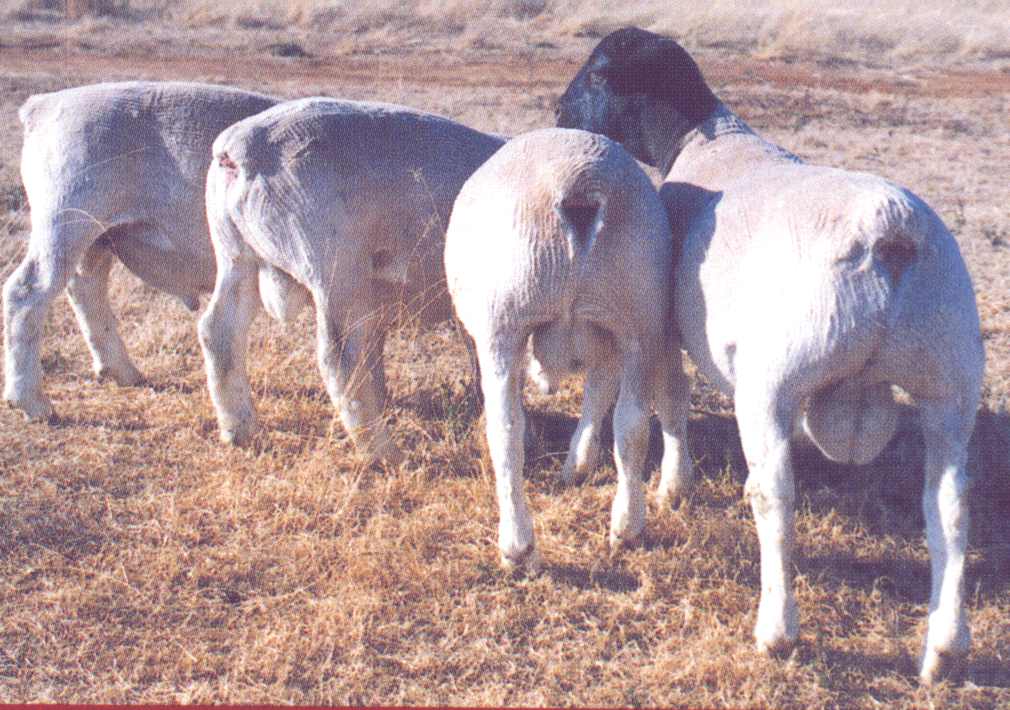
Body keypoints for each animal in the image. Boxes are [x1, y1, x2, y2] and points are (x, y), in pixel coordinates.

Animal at [4, 81, 278, 421]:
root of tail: (43, 104)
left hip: (99, 236)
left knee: (85, 287)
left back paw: (124, 373)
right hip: (63, 219)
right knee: (26, 292)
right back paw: (33, 404)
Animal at [199, 97, 506, 464]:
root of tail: (237, 150)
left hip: (235, 256)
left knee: (218, 331)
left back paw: (239, 430)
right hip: (336, 270)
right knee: (339, 358)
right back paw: (383, 453)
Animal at [445, 127, 692, 571]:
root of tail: (578, 180)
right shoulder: (609, 338)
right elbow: (599, 396)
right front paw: (578, 464)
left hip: (502, 322)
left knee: (505, 429)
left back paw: (517, 545)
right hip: (638, 316)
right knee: (633, 425)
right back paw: (627, 526)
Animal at [556, 27, 984, 685]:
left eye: (598, 71)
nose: (557, 112)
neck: (698, 140)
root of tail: (890, 232)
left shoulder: (666, 326)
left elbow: (671, 403)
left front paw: (671, 489)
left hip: (774, 381)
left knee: (776, 496)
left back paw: (777, 630)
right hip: (950, 383)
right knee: (951, 510)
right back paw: (945, 649)